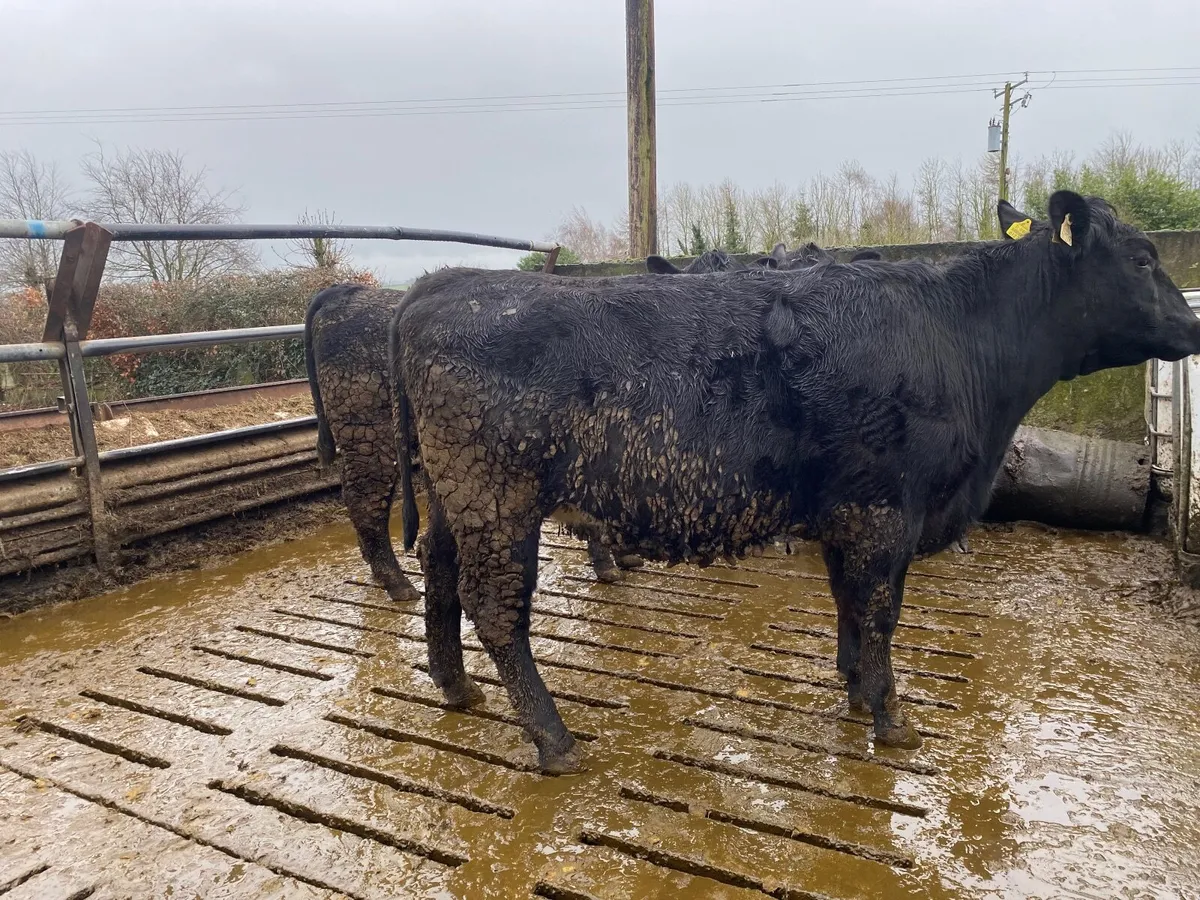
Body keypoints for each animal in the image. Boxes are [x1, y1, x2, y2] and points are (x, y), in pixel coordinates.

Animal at [303, 285, 642, 600]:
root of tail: (348, 292)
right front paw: (609, 565)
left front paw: (624, 556)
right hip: (368, 430)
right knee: (365, 499)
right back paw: (396, 583)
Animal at [389, 190, 1200, 774]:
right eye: (1140, 257)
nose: (1194, 325)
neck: (957, 339)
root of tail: (441, 285)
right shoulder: (885, 509)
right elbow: (880, 612)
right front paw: (891, 719)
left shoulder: (849, 509)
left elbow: (850, 604)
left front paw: (855, 691)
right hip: (497, 498)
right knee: (495, 607)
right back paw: (554, 740)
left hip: (454, 495)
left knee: (438, 569)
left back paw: (455, 685)